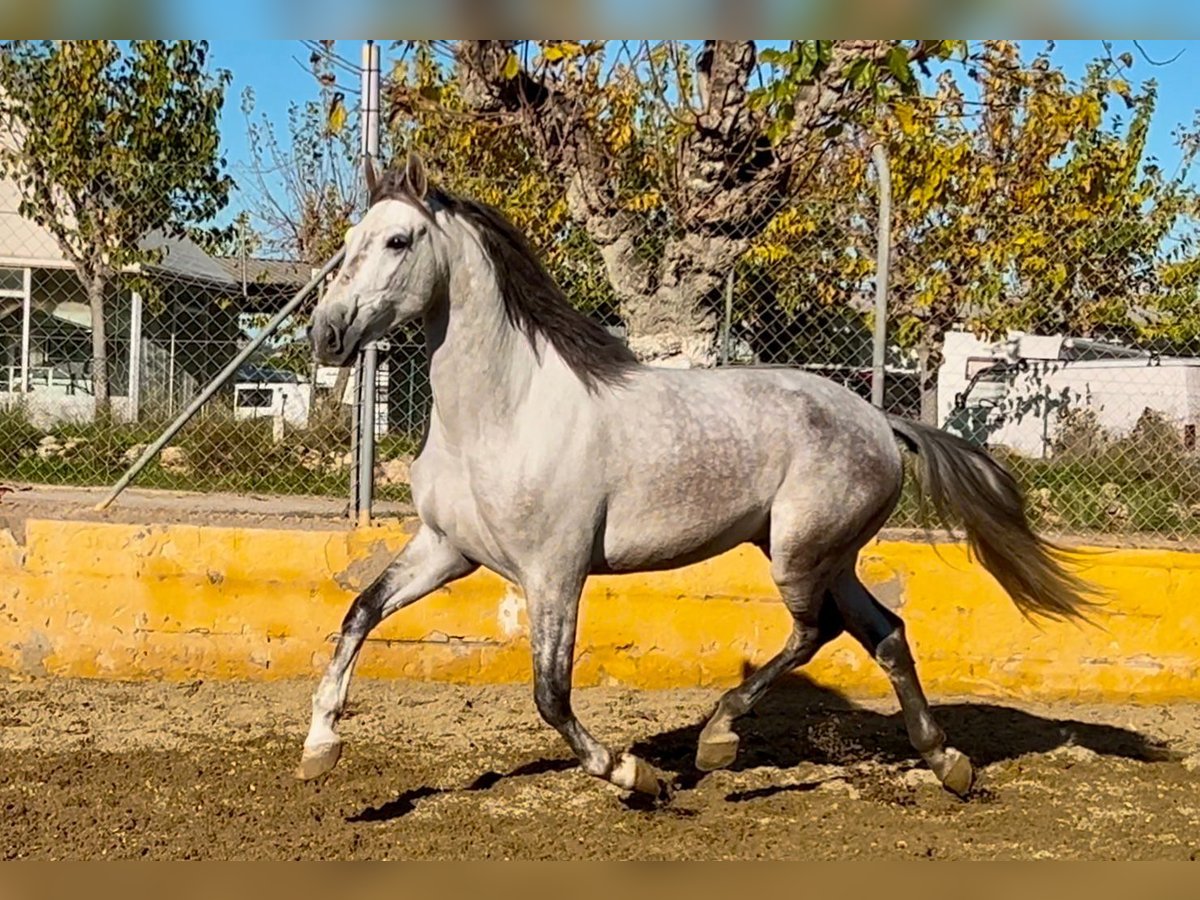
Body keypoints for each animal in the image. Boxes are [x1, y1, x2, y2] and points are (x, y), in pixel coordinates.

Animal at [295, 154, 1094, 801]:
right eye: (348, 243)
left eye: (398, 241)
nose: (326, 335)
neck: (503, 413)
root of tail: (881, 423)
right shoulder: (446, 550)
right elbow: (359, 613)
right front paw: (319, 750)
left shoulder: (554, 570)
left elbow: (550, 694)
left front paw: (636, 775)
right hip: (819, 554)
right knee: (885, 632)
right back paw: (947, 763)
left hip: (800, 554)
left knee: (818, 631)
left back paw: (718, 740)